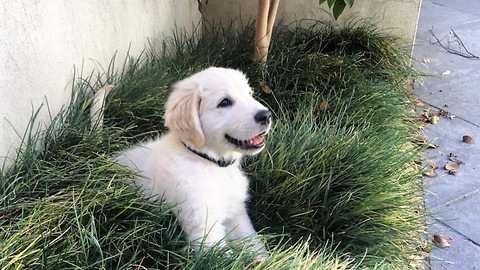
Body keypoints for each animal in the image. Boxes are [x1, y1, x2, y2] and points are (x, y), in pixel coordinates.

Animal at [109, 67, 274, 255]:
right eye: (224, 102)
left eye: (249, 94)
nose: (266, 115)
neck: (209, 162)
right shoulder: (205, 230)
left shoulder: (237, 214)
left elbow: (255, 245)